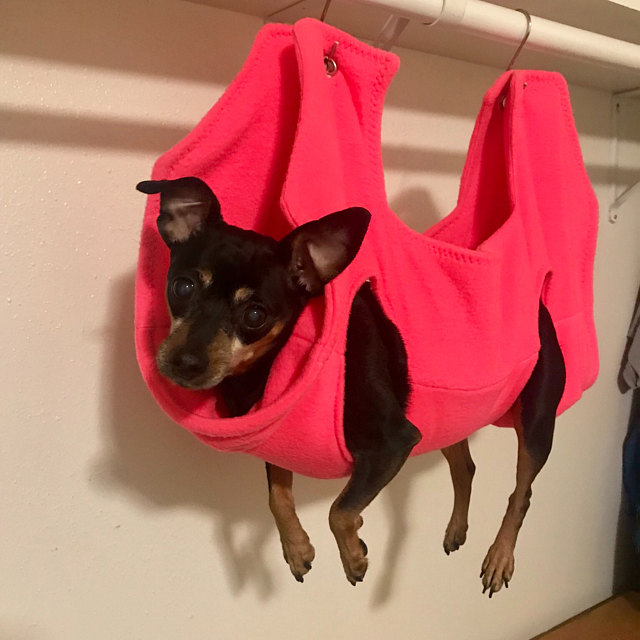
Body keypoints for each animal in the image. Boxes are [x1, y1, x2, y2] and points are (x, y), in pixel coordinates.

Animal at [136, 176, 564, 596]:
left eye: (255, 315)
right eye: (182, 287)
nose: (185, 362)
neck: (261, 370)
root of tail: (539, 309)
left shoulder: (394, 442)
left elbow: (337, 510)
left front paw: (353, 556)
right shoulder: (277, 435)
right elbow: (278, 495)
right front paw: (298, 548)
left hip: (535, 424)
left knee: (521, 493)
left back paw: (499, 557)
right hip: (447, 419)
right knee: (465, 467)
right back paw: (457, 528)